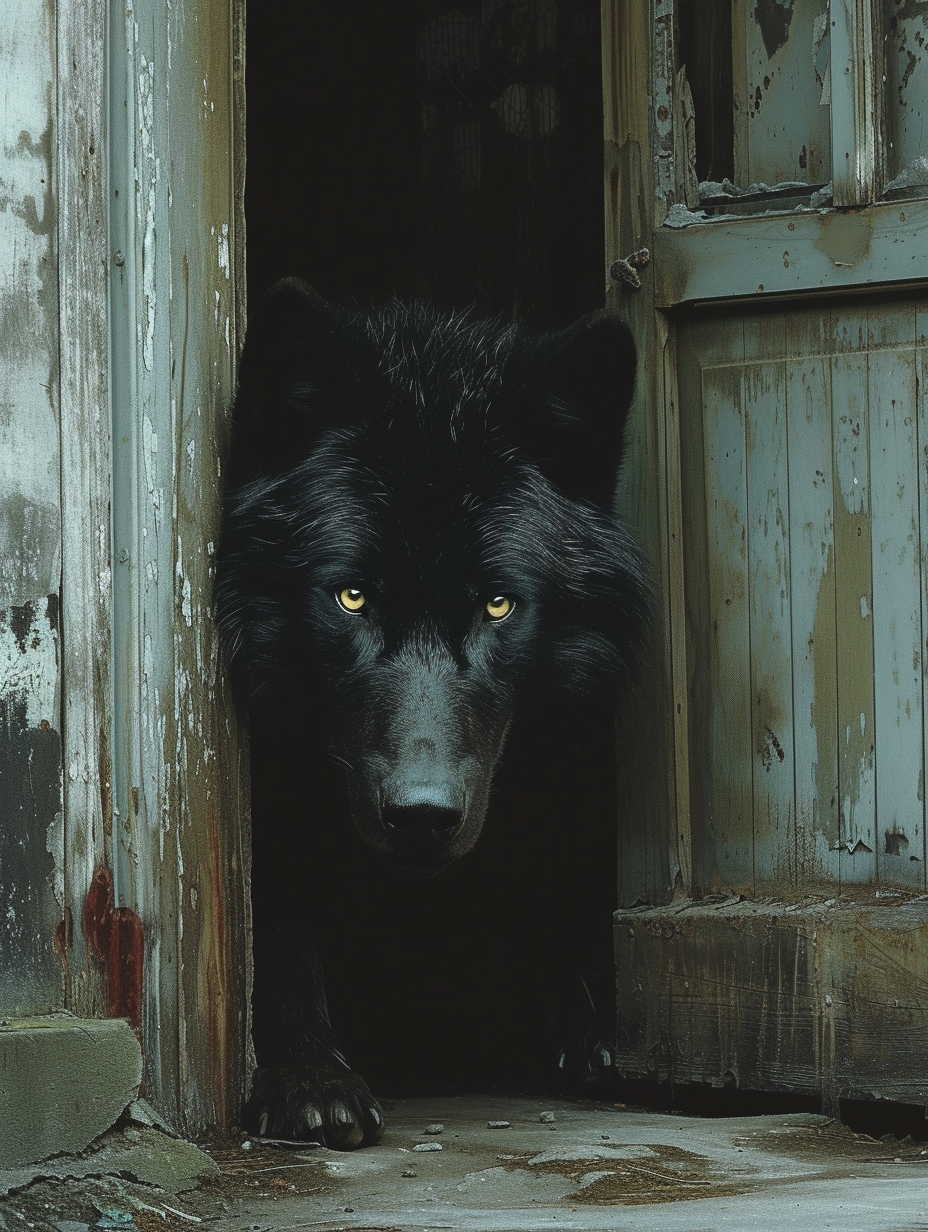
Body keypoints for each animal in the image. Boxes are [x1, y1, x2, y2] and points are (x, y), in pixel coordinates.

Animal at [215, 279, 649, 1149]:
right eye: (352, 596)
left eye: (497, 603)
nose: (421, 815)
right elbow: (280, 936)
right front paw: (310, 1074)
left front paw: (597, 1022)